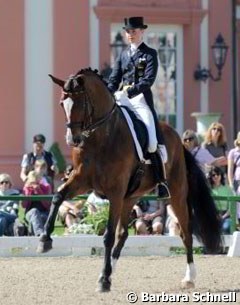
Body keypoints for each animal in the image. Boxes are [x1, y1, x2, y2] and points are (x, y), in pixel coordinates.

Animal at [36, 67, 222, 290]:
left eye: (80, 103)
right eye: (62, 103)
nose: (73, 140)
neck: (100, 138)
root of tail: (178, 138)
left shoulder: (115, 192)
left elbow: (107, 235)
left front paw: (104, 282)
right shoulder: (82, 181)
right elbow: (58, 196)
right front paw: (44, 240)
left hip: (176, 194)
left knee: (185, 232)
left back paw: (189, 277)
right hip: (131, 197)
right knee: (123, 233)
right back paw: (109, 271)